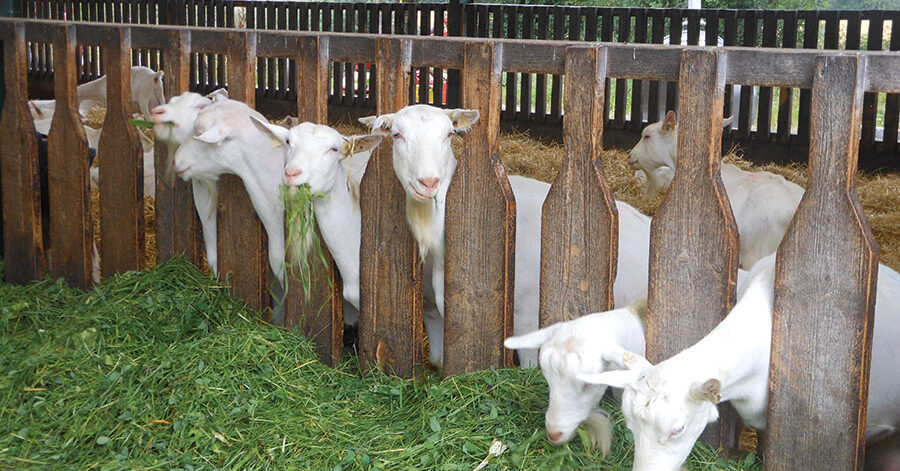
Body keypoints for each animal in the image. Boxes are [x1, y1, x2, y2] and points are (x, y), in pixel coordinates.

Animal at [361, 104, 652, 368]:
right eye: (396, 134)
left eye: (449, 134)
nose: (428, 182)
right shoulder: (432, 308)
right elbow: (438, 358)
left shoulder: (528, 318)